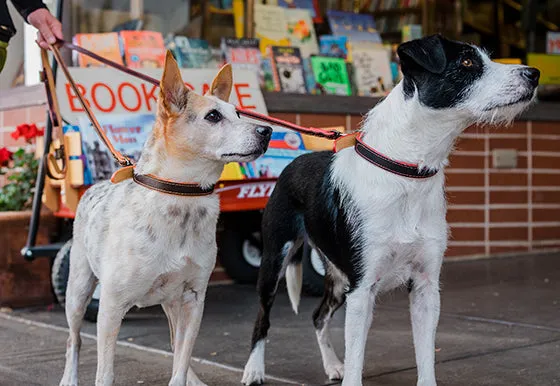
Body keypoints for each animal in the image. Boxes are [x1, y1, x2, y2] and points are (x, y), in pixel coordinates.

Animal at [241, 34, 540, 384]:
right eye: (466, 62)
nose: (533, 74)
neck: (407, 173)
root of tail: (294, 161)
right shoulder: (362, 289)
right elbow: (356, 360)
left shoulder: (425, 287)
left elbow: (425, 355)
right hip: (275, 261)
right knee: (262, 318)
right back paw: (254, 369)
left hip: (339, 278)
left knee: (318, 316)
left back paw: (332, 364)